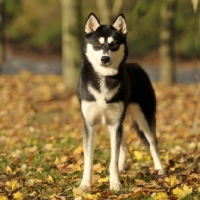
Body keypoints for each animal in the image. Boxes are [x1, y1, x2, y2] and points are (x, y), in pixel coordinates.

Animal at [77, 12, 165, 191]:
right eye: (97, 43)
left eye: (114, 44)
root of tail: (138, 66)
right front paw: (85, 185)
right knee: (124, 146)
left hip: (143, 120)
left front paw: (115, 183)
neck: (104, 77)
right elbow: (89, 160)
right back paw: (122, 168)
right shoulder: (91, 125)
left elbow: (113, 158)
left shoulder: (116, 124)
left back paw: (160, 169)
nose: (104, 59)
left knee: (153, 143)